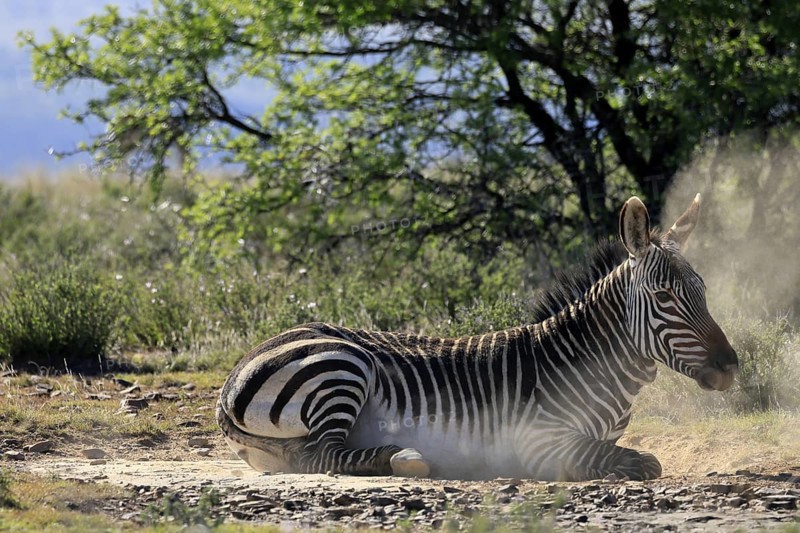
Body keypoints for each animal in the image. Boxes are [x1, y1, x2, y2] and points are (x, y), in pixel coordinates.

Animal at [217, 194, 738, 481]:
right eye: (665, 297)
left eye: (702, 291)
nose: (731, 367)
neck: (582, 361)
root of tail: (233, 376)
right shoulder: (536, 438)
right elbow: (644, 461)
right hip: (342, 366)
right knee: (325, 453)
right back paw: (405, 457)